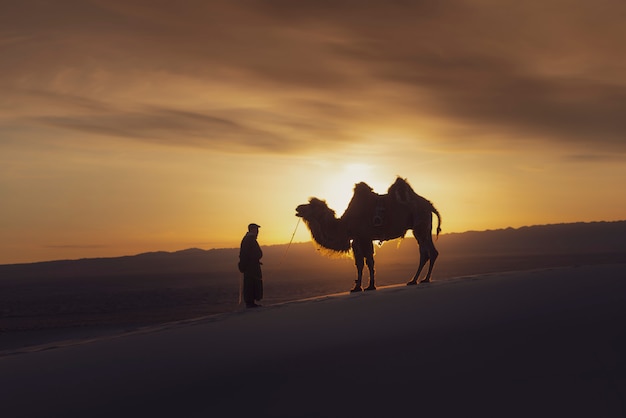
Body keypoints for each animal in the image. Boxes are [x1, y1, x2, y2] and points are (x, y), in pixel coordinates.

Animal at [294, 178, 442, 292]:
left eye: (312, 206)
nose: (298, 208)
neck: (344, 225)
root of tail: (430, 205)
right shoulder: (362, 239)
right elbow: (365, 262)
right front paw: (363, 286)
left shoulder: (361, 237)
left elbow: (364, 262)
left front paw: (363, 287)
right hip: (424, 228)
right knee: (430, 252)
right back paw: (421, 279)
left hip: (420, 225)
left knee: (426, 252)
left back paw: (417, 280)